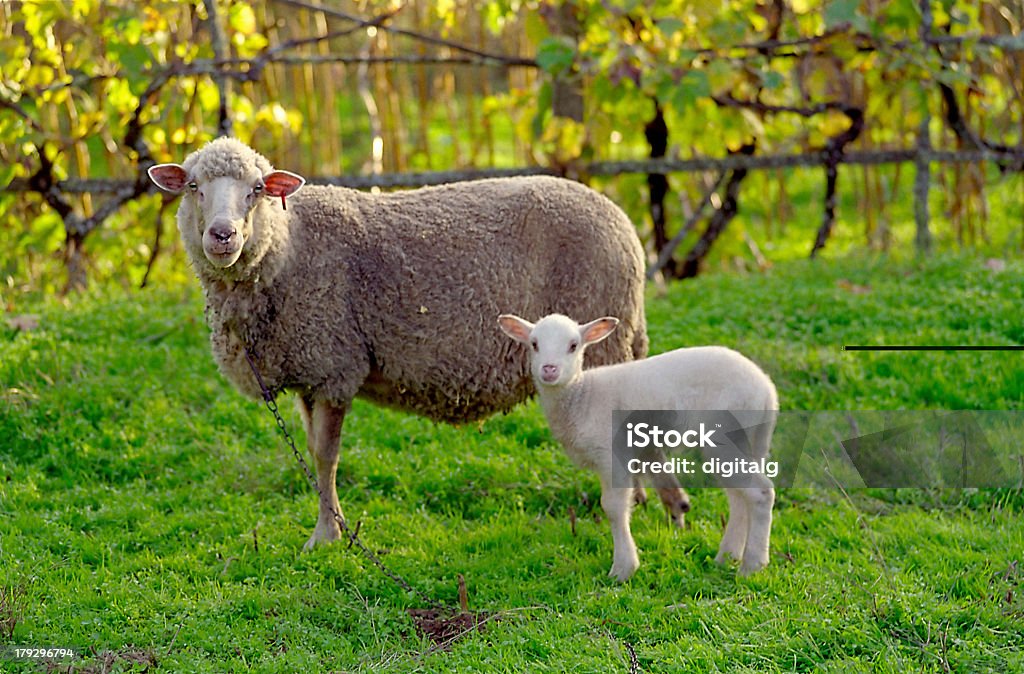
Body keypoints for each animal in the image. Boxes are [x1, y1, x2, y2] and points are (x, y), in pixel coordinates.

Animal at [144, 136, 688, 544]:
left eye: (257, 189)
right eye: (192, 186)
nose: (222, 235)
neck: (288, 247)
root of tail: (624, 226)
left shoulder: (335, 366)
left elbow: (326, 456)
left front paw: (327, 537)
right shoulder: (307, 372)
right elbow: (313, 454)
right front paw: (330, 527)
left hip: (603, 339)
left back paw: (651, 504)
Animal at [495, 311, 774, 577]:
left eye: (573, 345)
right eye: (534, 344)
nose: (549, 369)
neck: (581, 396)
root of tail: (767, 390)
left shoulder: (612, 454)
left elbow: (614, 507)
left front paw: (623, 568)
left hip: (726, 434)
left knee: (760, 492)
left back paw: (752, 565)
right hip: (747, 441)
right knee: (739, 498)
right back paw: (727, 557)